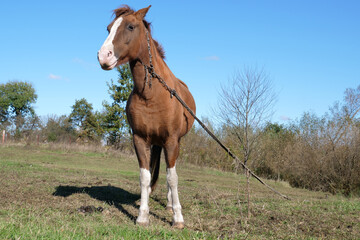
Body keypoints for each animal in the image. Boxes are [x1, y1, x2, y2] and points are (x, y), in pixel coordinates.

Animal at [97, 4, 195, 228]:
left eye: (130, 26)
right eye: (108, 29)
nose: (103, 56)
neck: (152, 94)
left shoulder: (171, 141)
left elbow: (172, 177)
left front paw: (177, 218)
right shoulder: (140, 139)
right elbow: (145, 176)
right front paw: (142, 215)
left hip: (172, 143)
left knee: (169, 173)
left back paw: (170, 204)